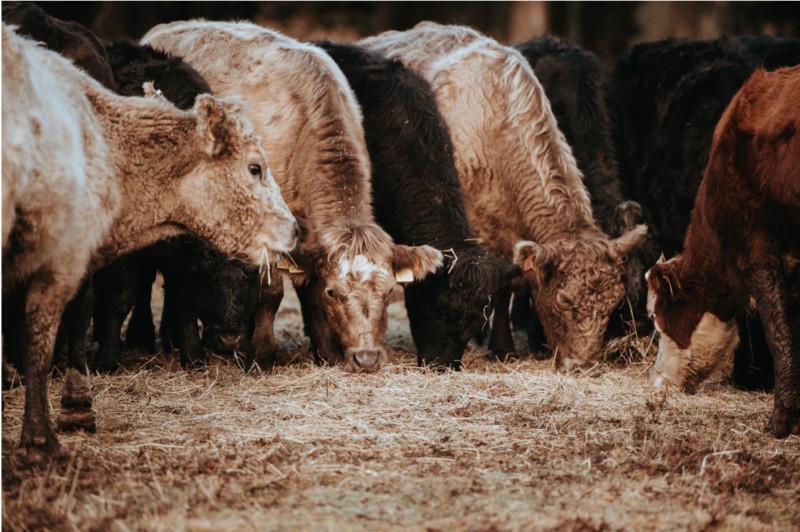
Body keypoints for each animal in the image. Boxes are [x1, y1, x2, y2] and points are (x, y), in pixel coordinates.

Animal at [143, 21, 444, 374]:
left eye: (389, 292)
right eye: (333, 292)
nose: (367, 358)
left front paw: (325, 353)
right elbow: (272, 291)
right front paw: (262, 356)